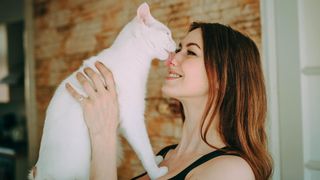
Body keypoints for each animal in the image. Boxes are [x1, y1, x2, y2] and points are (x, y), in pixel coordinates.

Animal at [29, 2, 175, 180]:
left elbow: (143, 147)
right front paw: (156, 171)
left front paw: (156, 160)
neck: (133, 58)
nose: (177, 44)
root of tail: (38, 173)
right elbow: (144, 147)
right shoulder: (133, 117)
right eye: (167, 34)